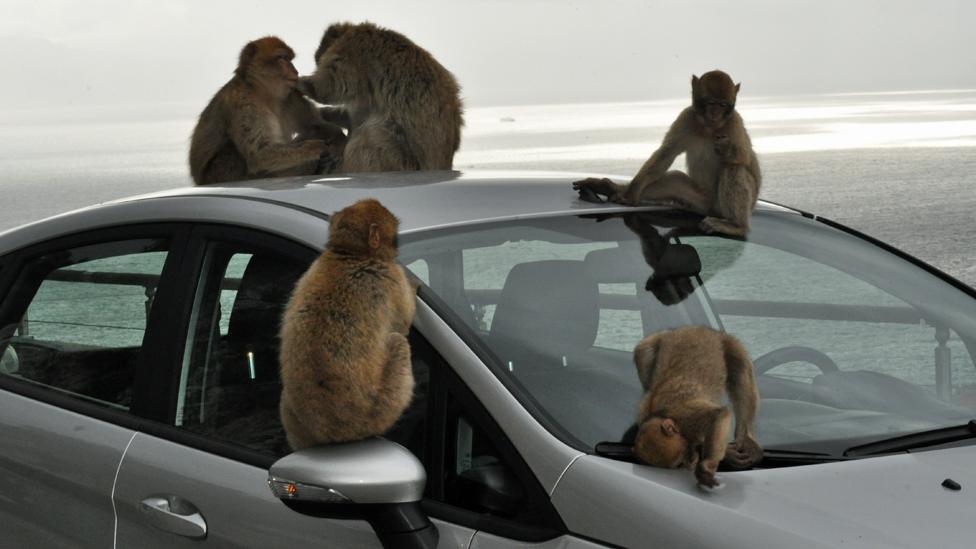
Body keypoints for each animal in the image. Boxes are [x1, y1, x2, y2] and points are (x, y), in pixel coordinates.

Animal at [189, 37, 346, 186]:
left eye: (290, 59)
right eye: (282, 58)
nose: (295, 71)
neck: (263, 93)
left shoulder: (292, 96)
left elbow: (314, 125)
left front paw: (338, 139)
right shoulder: (244, 104)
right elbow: (260, 154)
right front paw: (317, 147)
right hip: (217, 175)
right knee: (230, 152)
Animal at [276, 198, 418, 450]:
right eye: (394, 237)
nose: (398, 248)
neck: (350, 254)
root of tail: (334, 435)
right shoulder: (388, 277)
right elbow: (403, 323)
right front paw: (415, 285)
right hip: (380, 411)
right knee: (398, 341)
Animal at [300, 22, 464, 171]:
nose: (318, 59)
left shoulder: (350, 54)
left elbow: (332, 89)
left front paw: (304, 84)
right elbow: (356, 113)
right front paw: (325, 114)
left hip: (401, 162)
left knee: (371, 136)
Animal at [572, 69, 764, 237]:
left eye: (722, 104)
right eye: (711, 103)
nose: (715, 113)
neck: (708, 128)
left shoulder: (733, 123)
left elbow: (745, 158)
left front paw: (726, 149)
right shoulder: (686, 117)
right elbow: (665, 154)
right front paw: (630, 192)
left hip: (732, 205)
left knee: (734, 168)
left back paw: (736, 226)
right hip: (700, 201)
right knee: (674, 179)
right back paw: (611, 188)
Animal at [632, 324, 764, 486]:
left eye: (680, 460)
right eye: (679, 465)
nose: (690, 462)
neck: (656, 414)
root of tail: (694, 328)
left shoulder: (685, 416)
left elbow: (718, 415)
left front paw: (706, 467)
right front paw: (724, 454)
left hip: (728, 343)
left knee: (740, 369)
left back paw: (746, 438)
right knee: (642, 352)